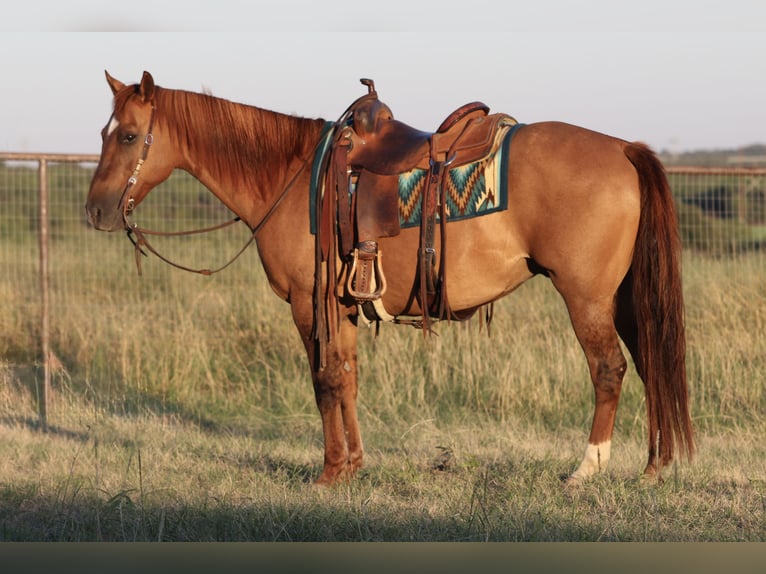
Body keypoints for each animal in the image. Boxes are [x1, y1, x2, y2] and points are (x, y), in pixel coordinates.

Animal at [85, 71, 694, 486]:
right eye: (103, 131)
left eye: (128, 136)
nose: (95, 211)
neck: (291, 176)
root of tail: (622, 148)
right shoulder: (344, 307)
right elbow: (349, 379)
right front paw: (354, 466)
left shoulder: (309, 305)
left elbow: (325, 381)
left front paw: (330, 472)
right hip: (624, 298)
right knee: (649, 362)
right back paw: (655, 467)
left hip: (586, 298)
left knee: (609, 370)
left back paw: (586, 470)